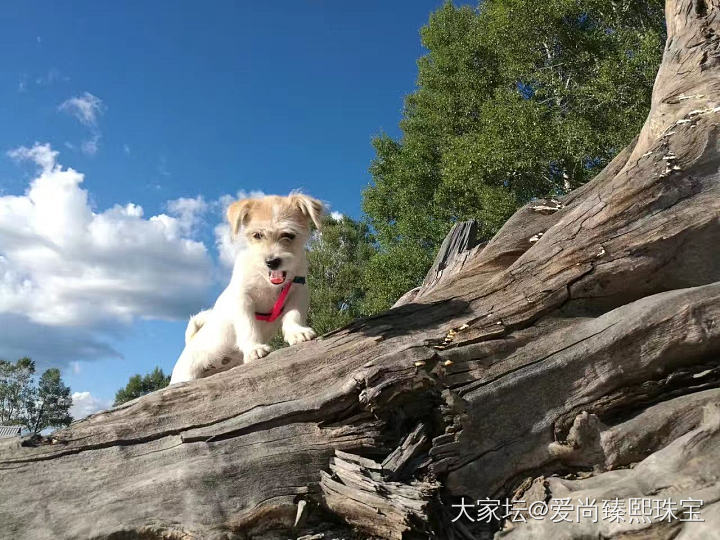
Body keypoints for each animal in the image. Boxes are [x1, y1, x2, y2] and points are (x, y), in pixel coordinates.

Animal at [170, 194, 322, 384]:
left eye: (288, 234)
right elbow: (248, 326)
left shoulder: (298, 292)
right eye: (257, 235)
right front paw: (254, 348)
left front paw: (297, 332)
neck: (266, 280)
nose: (271, 262)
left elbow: (294, 315)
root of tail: (190, 342)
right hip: (186, 375)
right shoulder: (243, 301)